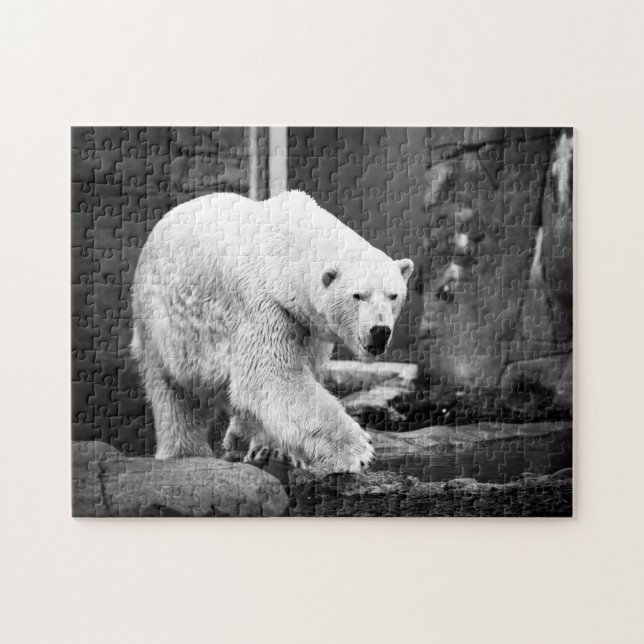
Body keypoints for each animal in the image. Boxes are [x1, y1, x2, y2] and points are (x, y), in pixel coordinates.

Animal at [131, 190, 413, 472]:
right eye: (358, 295)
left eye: (393, 295)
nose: (379, 330)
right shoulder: (265, 306)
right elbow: (272, 375)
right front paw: (358, 451)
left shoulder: (307, 326)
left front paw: (272, 448)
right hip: (161, 320)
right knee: (171, 390)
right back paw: (187, 452)